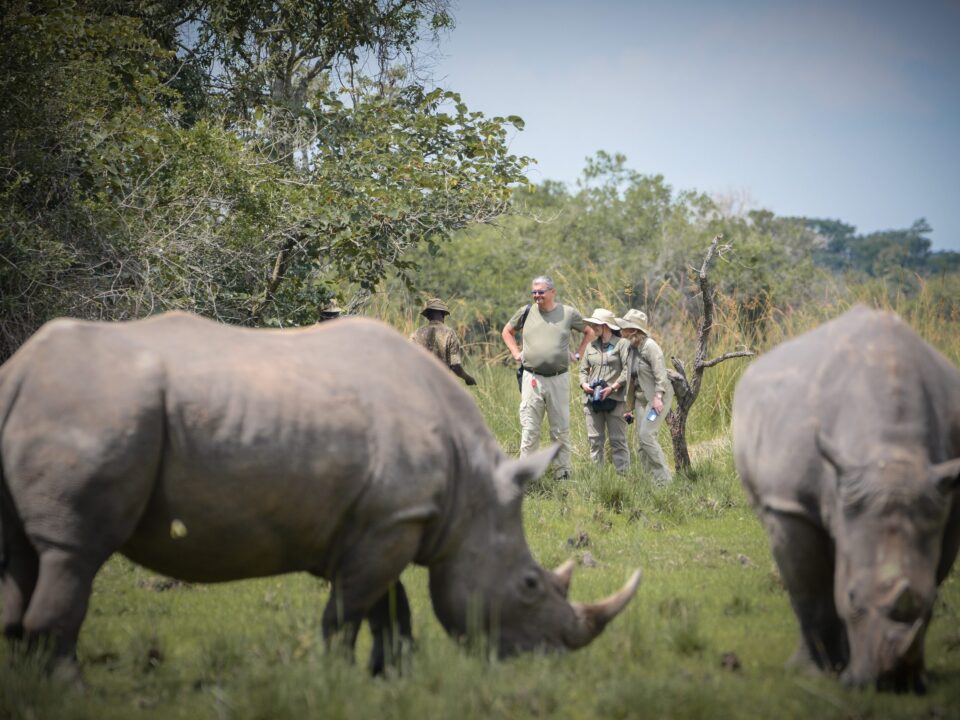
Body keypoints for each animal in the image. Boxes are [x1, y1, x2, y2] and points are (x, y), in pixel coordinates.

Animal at [0, 312, 641, 674]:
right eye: (530, 585)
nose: (548, 660)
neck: (472, 497)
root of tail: (20, 371)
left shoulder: (384, 522)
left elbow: (389, 609)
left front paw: (390, 678)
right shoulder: (391, 522)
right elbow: (348, 614)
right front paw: (338, 681)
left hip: (65, 404)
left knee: (24, 559)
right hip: (99, 406)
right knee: (72, 552)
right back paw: (70, 687)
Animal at [733, 305, 960, 692]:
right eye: (852, 596)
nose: (890, 684)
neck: (891, 453)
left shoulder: (945, 501)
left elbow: (930, 574)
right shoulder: (792, 505)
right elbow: (812, 592)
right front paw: (817, 672)